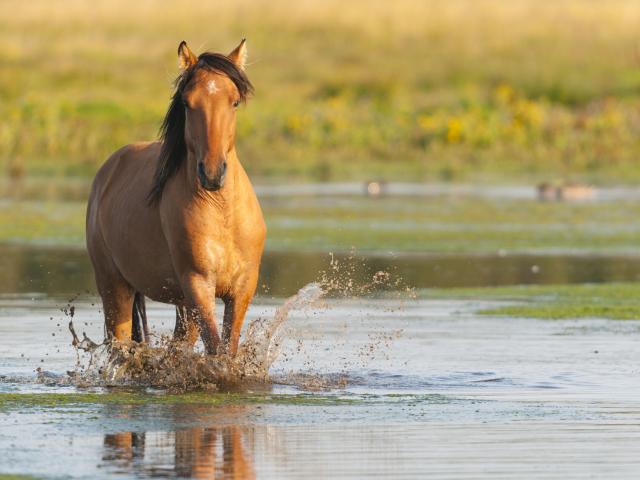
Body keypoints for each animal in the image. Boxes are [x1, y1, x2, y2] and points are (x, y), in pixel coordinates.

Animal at [86, 40, 266, 355]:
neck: (222, 212)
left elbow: (227, 350)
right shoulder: (198, 284)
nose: (212, 172)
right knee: (119, 345)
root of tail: (106, 172)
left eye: (234, 102)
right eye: (186, 103)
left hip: (180, 305)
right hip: (114, 286)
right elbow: (215, 349)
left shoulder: (242, 288)